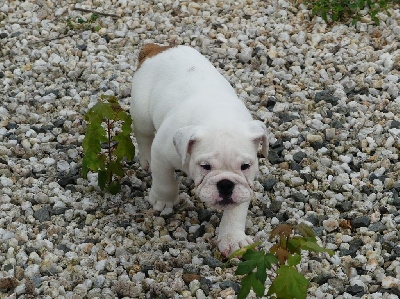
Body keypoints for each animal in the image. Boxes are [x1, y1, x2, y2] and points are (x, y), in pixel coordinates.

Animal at [131, 44, 268, 255]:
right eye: (205, 166)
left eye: (245, 166)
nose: (226, 184)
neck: (219, 117)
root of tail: (157, 48)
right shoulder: (162, 154)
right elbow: (165, 182)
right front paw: (164, 201)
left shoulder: (246, 183)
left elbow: (237, 208)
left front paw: (232, 238)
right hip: (142, 112)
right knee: (143, 133)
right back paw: (146, 160)